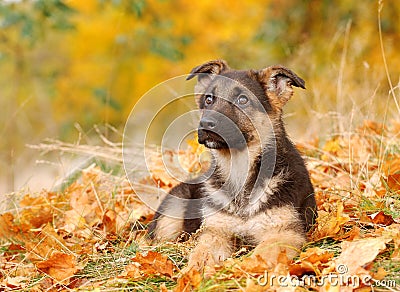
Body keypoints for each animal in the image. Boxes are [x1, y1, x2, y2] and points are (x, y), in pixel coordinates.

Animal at [147, 60, 316, 272]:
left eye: (243, 100)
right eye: (209, 99)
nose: (206, 123)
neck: (239, 169)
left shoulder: (284, 232)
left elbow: (261, 255)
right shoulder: (216, 231)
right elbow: (201, 252)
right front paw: (193, 272)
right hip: (172, 211)